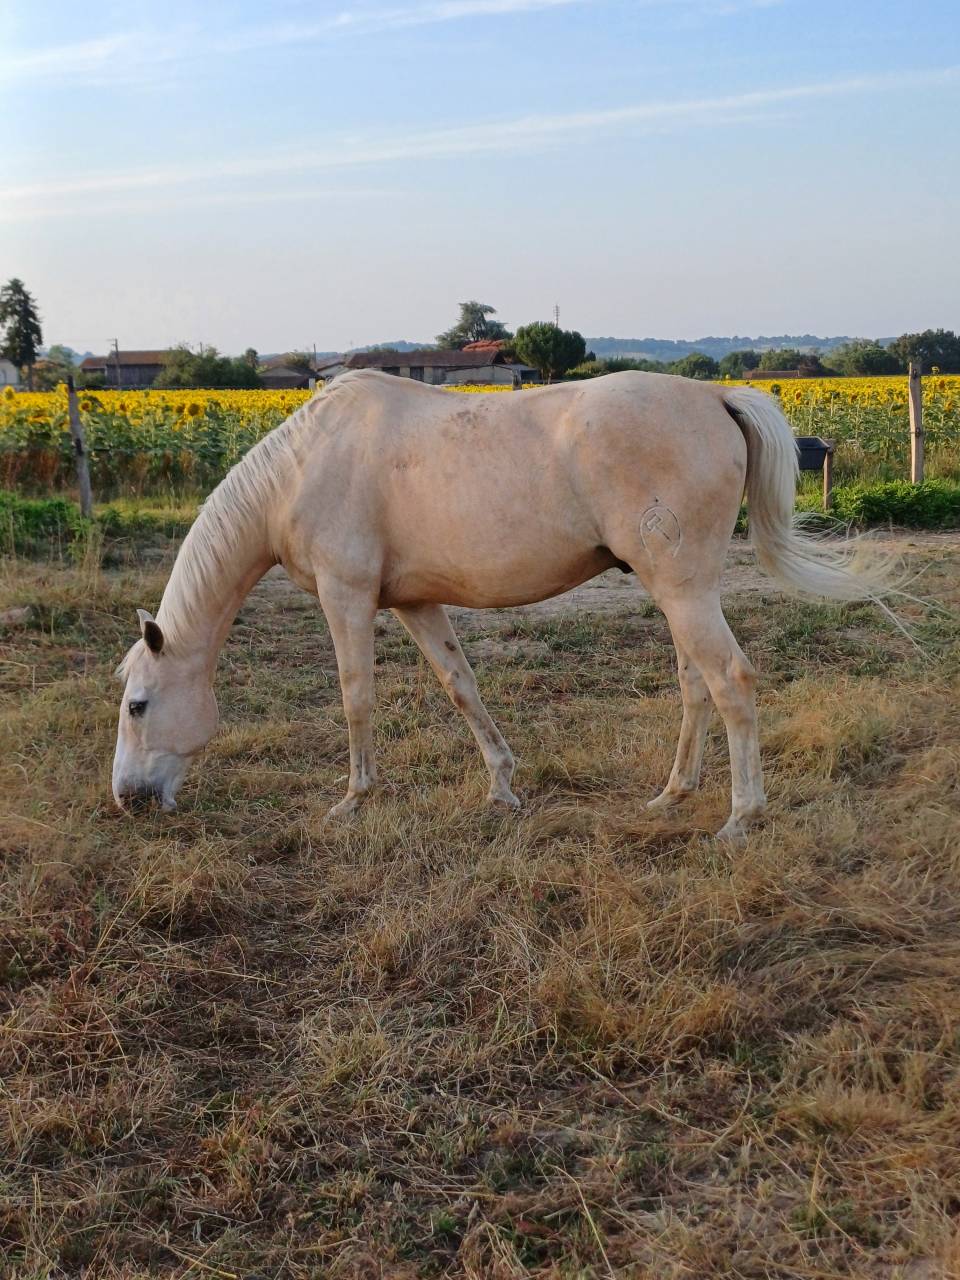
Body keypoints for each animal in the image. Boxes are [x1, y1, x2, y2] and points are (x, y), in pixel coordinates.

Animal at [113, 369, 890, 840]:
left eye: (138, 706)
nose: (126, 797)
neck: (303, 467)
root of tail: (714, 397)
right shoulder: (415, 603)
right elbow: (461, 686)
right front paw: (502, 785)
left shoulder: (348, 596)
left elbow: (356, 697)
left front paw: (353, 799)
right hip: (678, 591)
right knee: (694, 685)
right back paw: (673, 793)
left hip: (684, 590)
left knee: (731, 681)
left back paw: (740, 816)